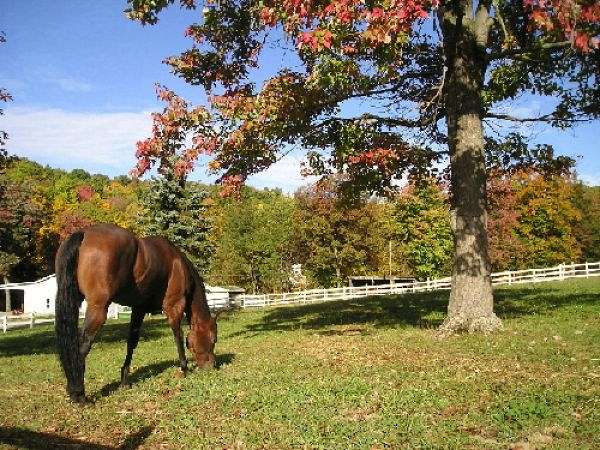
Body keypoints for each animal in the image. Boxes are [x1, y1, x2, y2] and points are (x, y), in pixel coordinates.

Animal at [54, 223, 218, 402]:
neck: (178, 265)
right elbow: (178, 335)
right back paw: (79, 395)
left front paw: (125, 379)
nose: (212, 366)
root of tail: (84, 233)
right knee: (81, 347)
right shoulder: (174, 306)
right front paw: (184, 368)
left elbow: (132, 342)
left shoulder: (139, 309)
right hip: (98, 309)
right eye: (213, 339)